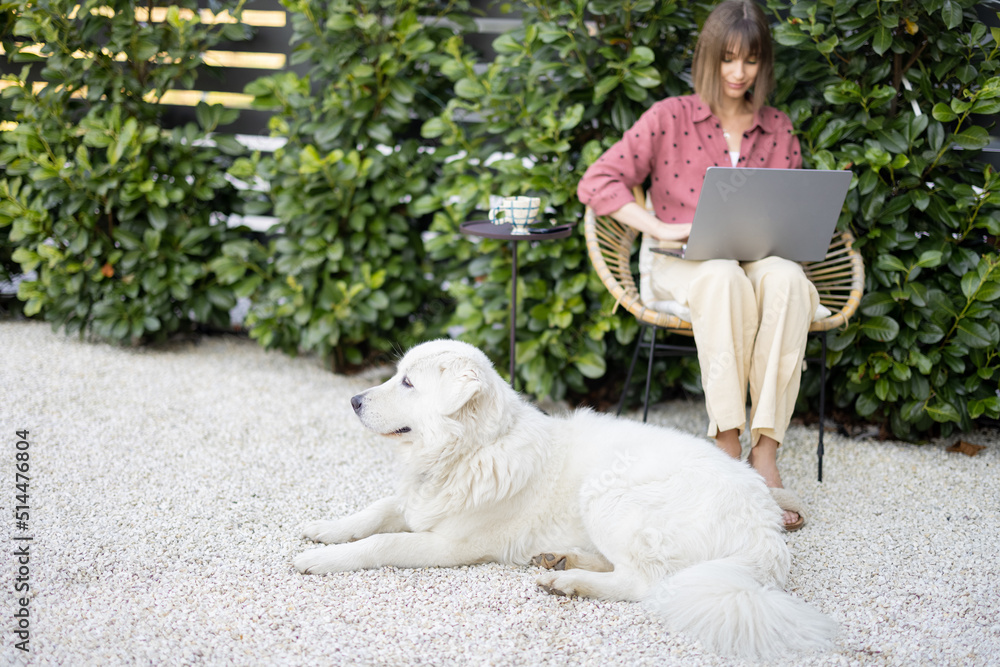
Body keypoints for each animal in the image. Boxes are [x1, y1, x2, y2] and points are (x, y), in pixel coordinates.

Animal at [294, 342, 836, 660]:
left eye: (408, 383)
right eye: (396, 375)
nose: (353, 400)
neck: (473, 450)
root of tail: (766, 530)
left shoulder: (450, 546)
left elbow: (381, 543)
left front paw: (321, 559)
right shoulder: (415, 503)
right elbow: (375, 512)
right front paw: (325, 529)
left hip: (608, 491)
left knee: (644, 583)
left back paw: (567, 581)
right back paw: (563, 560)